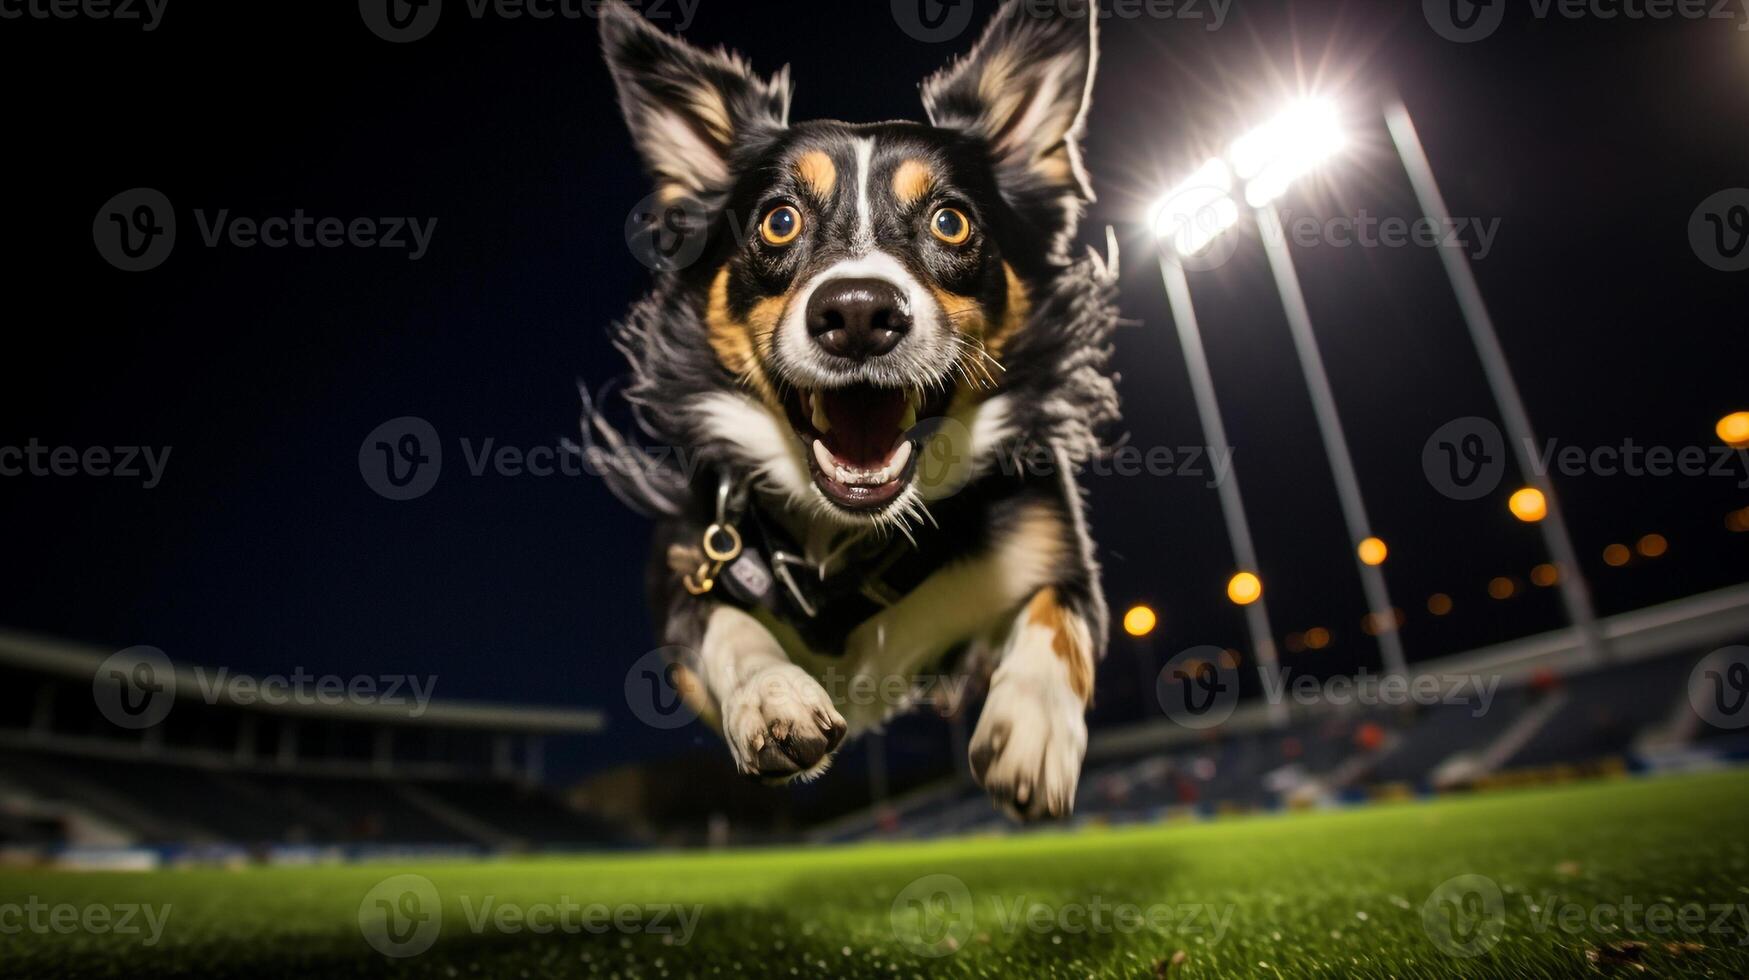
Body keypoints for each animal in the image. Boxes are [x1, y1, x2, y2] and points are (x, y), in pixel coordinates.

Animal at [591, 0, 1119, 819]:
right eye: (778, 221)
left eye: (950, 222)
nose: (860, 312)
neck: (851, 533)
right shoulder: (690, 568)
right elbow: (726, 627)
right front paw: (771, 696)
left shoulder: (1057, 554)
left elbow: (1056, 617)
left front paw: (1031, 723)